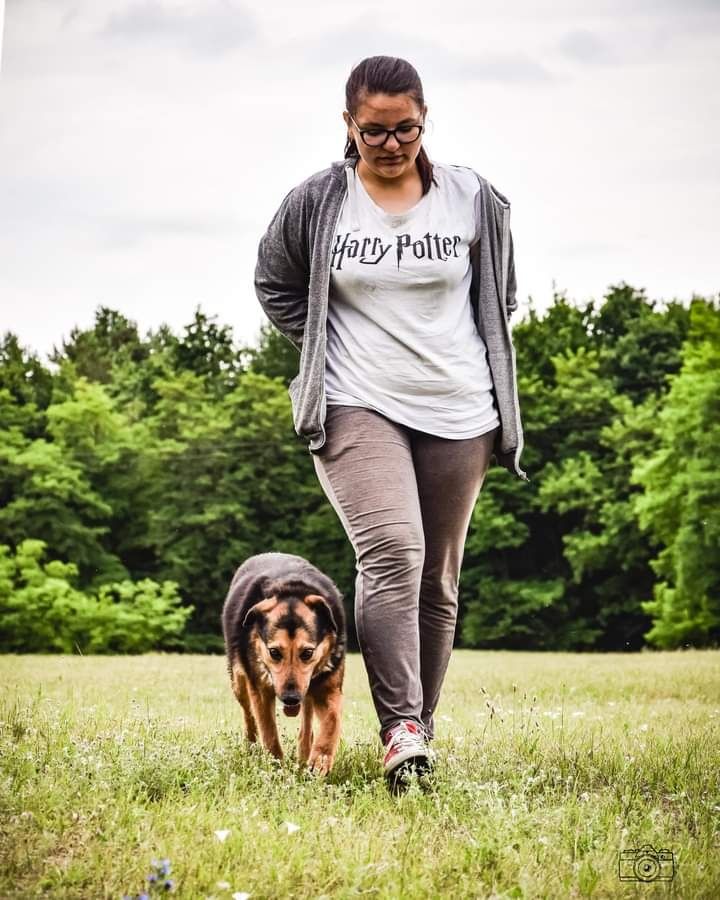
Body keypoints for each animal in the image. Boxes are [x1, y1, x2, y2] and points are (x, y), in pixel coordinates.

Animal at [221, 552, 348, 776]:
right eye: (274, 652)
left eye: (307, 653)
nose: (290, 698)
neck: (292, 590)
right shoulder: (260, 691)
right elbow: (268, 731)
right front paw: (276, 767)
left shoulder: (328, 686)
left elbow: (332, 719)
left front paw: (321, 758)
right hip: (238, 682)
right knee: (249, 715)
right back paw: (251, 747)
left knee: (307, 720)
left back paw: (304, 753)